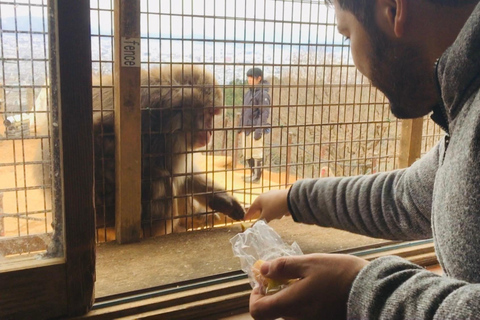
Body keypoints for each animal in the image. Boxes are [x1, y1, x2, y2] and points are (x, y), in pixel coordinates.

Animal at [92, 64, 246, 238]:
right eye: (207, 114)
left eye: (212, 114)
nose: (210, 132)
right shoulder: (168, 133)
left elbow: (186, 175)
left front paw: (222, 200)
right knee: (161, 177)